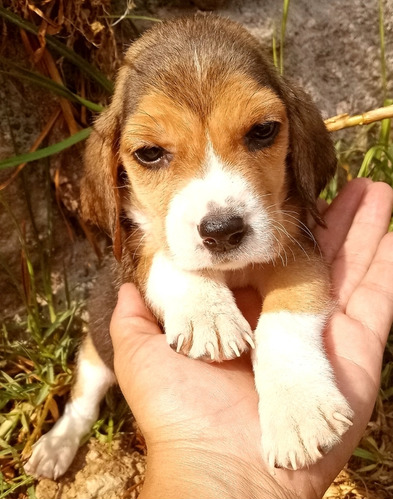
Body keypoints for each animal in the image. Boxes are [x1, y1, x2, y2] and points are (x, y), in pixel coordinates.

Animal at [26, 13, 354, 478]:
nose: (222, 231)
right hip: (97, 343)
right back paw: (56, 446)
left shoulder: (296, 248)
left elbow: (285, 319)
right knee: (83, 400)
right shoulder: (133, 248)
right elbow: (165, 255)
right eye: (149, 153)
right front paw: (206, 312)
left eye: (263, 131)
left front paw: (299, 410)